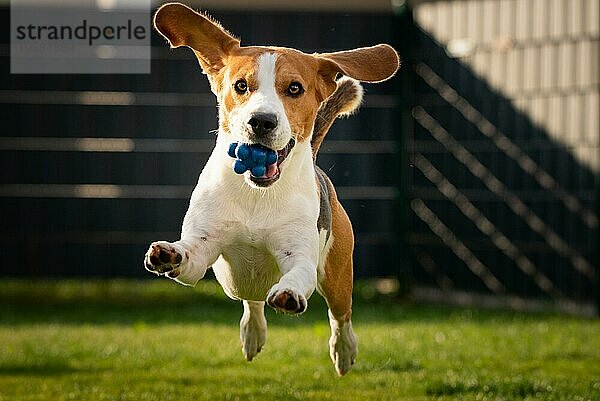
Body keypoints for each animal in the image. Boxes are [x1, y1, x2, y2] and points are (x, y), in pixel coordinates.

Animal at [144, 2, 398, 376]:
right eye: (241, 85)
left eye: (293, 88)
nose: (261, 121)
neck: (256, 194)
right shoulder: (203, 249)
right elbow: (189, 256)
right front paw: (169, 253)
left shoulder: (301, 256)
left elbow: (298, 276)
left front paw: (289, 294)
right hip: (241, 282)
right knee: (251, 300)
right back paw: (252, 332)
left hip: (337, 274)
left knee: (341, 317)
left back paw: (343, 351)